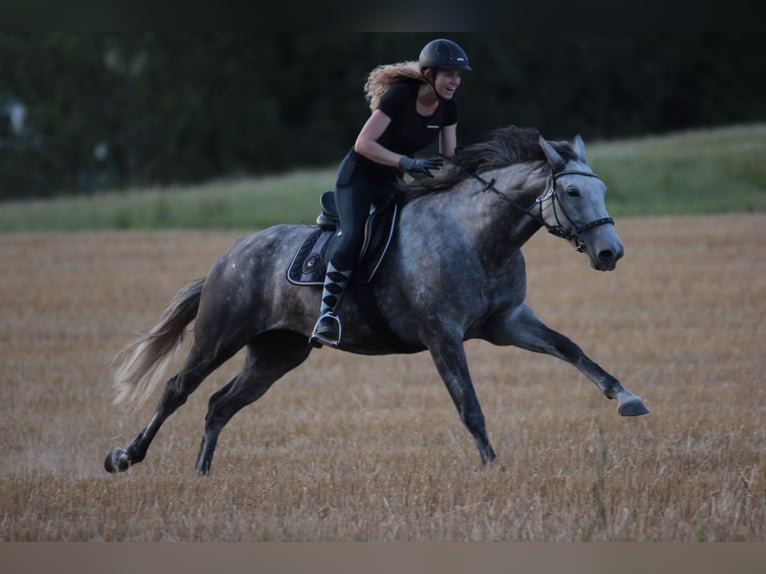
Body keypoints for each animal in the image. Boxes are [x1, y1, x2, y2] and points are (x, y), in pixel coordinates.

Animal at [105, 128, 652, 480]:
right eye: (574, 190)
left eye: (602, 188)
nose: (611, 253)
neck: (481, 237)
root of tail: (227, 257)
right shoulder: (442, 335)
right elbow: (469, 405)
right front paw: (494, 468)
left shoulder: (508, 322)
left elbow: (571, 349)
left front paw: (626, 397)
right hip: (220, 335)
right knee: (176, 390)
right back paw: (125, 457)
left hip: (278, 353)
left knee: (220, 404)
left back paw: (202, 473)